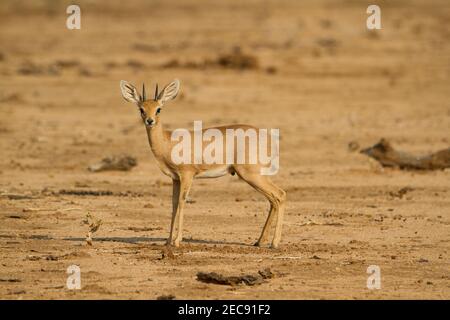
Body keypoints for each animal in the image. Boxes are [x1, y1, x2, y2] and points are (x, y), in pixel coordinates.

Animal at [119, 79, 286, 248]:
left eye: (159, 109)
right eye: (141, 109)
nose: (150, 121)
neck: (168, 142)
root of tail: (270, 139)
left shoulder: (187, 175)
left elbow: (182, 202)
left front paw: (177, 241)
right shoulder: (175, 178)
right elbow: (174, 204)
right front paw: (168, 240)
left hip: (251, 175)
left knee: (280, 195)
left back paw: (274, 243)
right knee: (273, 199)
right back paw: (259, 241)